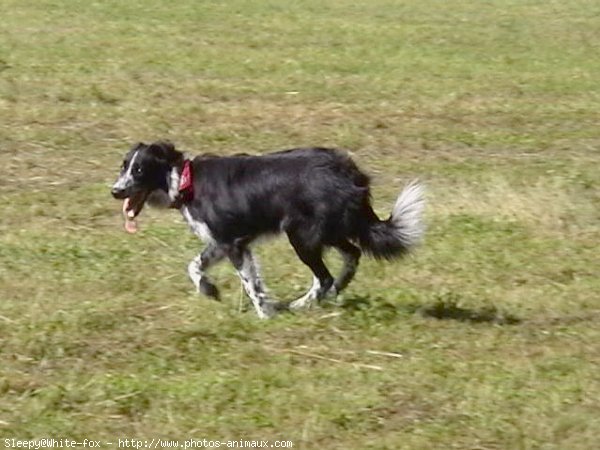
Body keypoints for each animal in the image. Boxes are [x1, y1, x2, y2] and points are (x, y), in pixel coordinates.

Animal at [111, 142, 422, 318]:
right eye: (123, 167)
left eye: (139, 170)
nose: (115, 191)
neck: (183, 179)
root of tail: (349, 172)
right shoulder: (223, 242)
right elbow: (195, 266)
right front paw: (209, 290)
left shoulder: (233, 243)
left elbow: (250, 284)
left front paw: (264, 315)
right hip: (327, 231)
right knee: (352, 256)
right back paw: (331, 294)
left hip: (301, 236)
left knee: (324, 276)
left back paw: (301, 305)